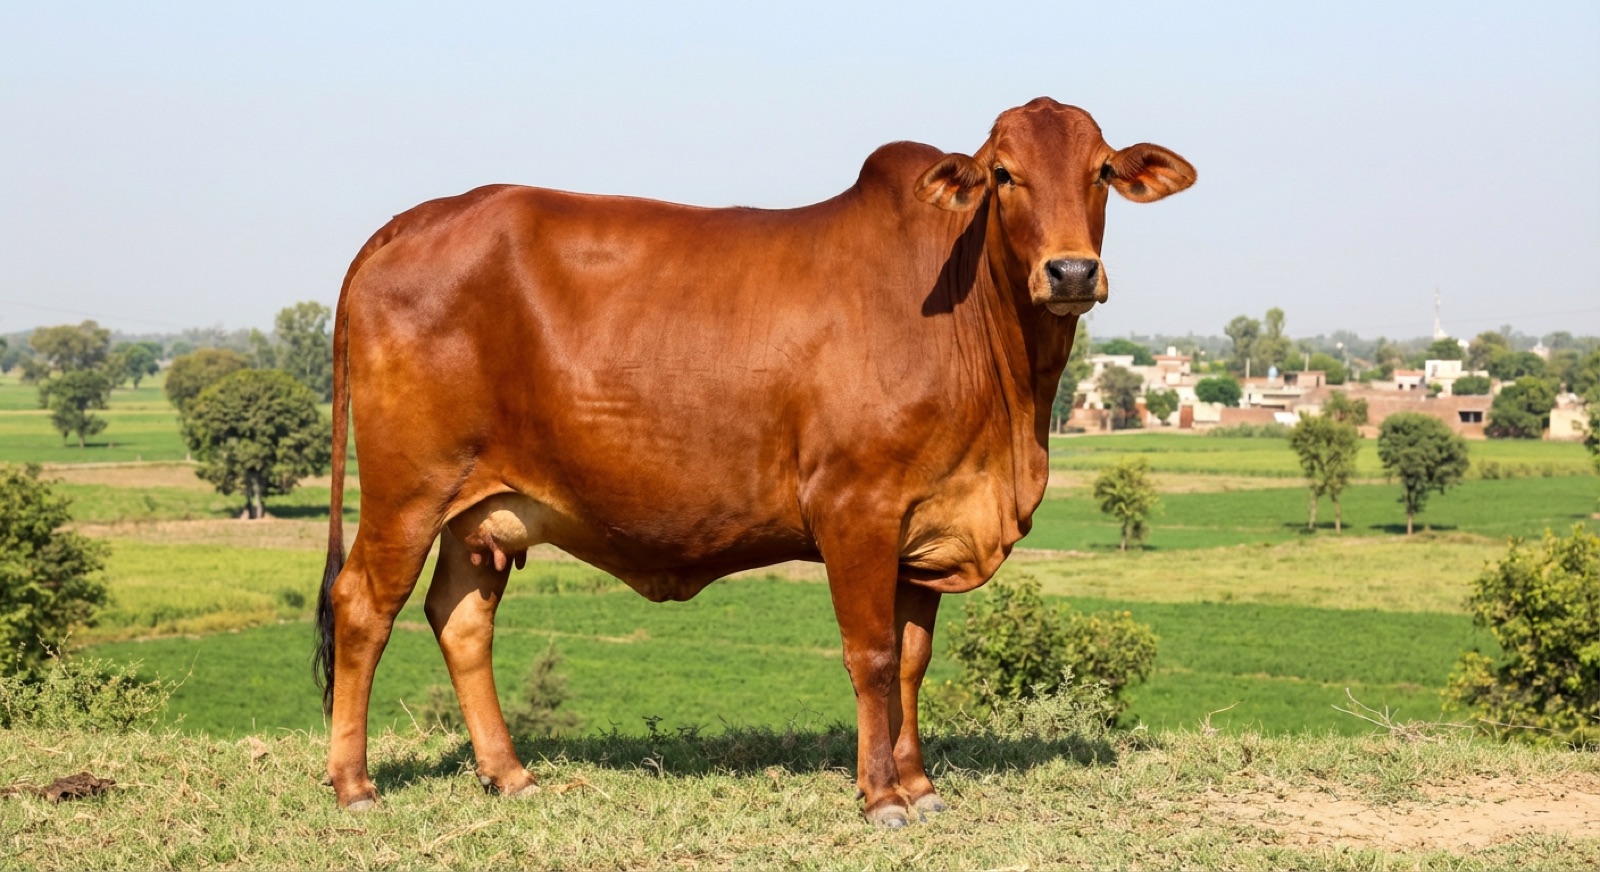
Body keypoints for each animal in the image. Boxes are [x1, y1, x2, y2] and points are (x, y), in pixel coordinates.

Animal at [315, 97, 1194, 827]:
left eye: (1101, 170)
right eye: (1004, 174)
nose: (1071, 271)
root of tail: (415, 219)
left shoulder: (927, 523)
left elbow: (912, 661)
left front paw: (920, 785)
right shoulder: (856, 508)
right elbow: (872, 656)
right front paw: (882, 797)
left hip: (480, 511)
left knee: (461, 617)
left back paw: (510, 775)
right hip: (407, 492)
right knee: (363, 606)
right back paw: (355, 785)